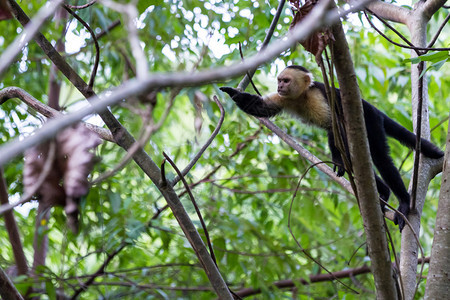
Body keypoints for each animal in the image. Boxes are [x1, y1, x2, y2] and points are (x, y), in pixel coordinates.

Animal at [220, 64, 444, 231]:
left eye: (286, 80)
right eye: (279, 81)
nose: (279, 86)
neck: (301, 96)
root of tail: (372, 108)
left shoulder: (319, 96)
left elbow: (335, 126)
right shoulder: (283, 99)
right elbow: (259, 108)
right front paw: (231, 92)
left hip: (370, 121)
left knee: (379, 157)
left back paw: (402, 200)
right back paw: (382, 191)